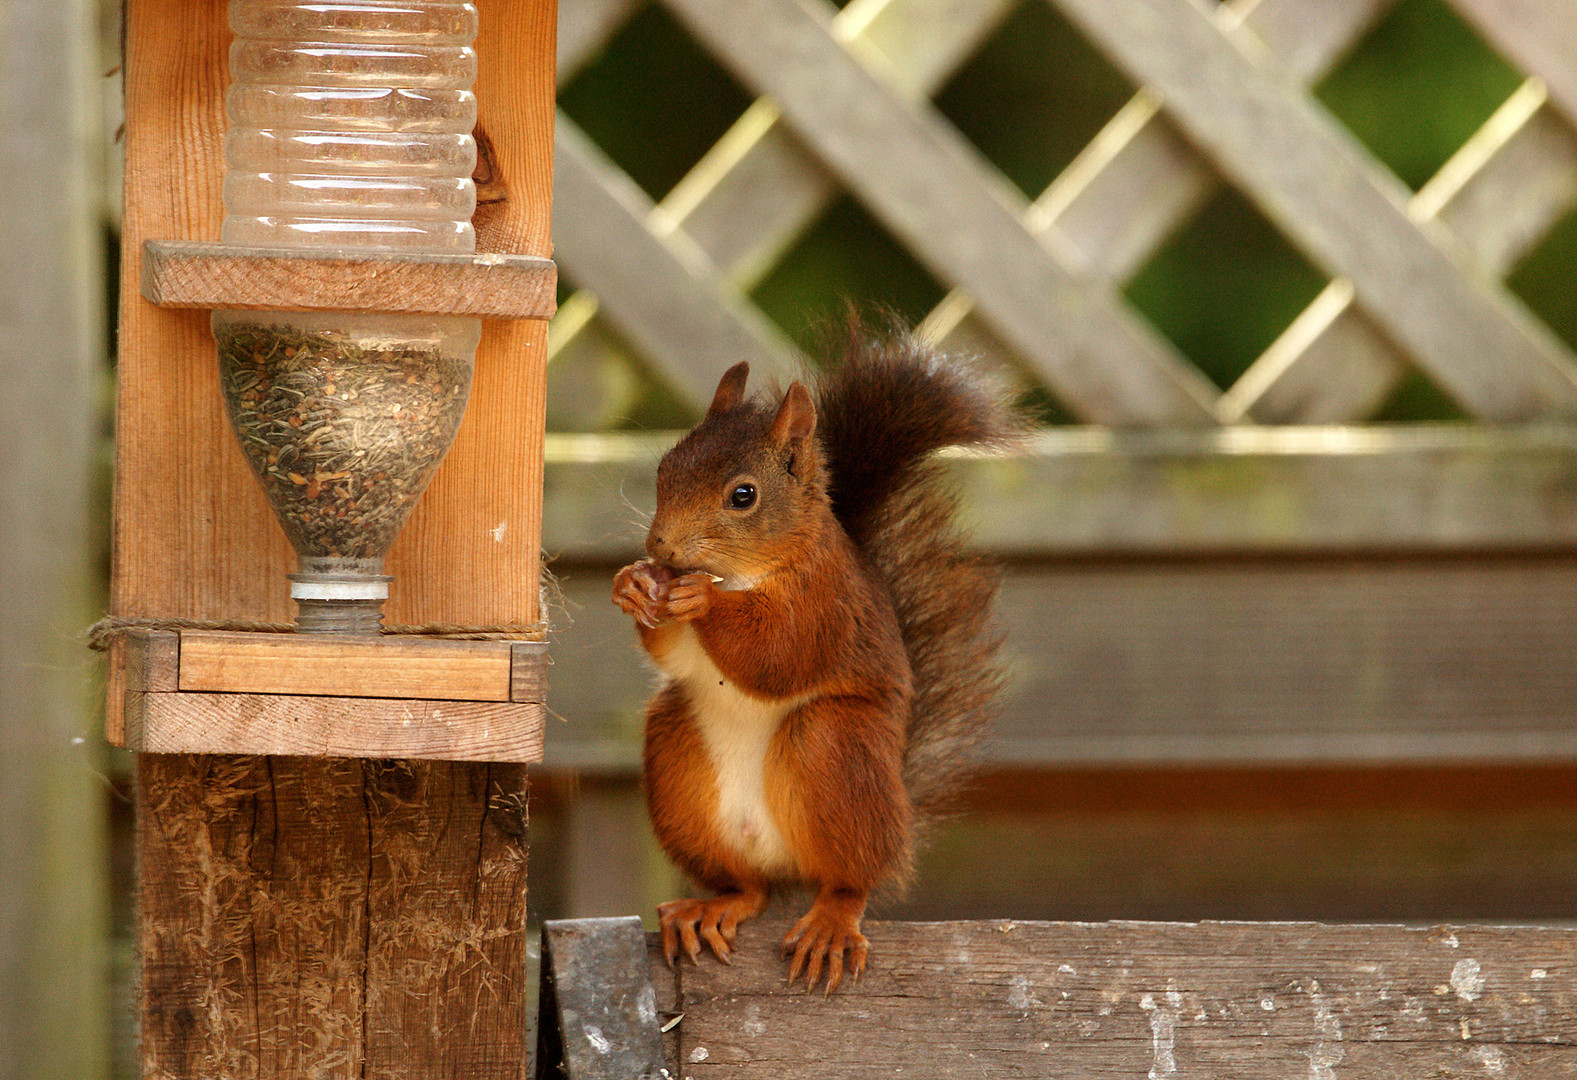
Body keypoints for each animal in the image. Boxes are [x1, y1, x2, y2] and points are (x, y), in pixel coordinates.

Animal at [602, 324, 1021, 990]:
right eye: (665, 468)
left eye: (743, 496)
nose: (660, 546)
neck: (744, 574)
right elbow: (673, 654)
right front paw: (635, 585)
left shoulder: (824, 604)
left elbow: (778, 655)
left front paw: (700, 601)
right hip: (677, 760)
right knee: (750, 890)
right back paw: (712, 906)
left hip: (835, 744)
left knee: (853, 880)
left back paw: (832, 921)